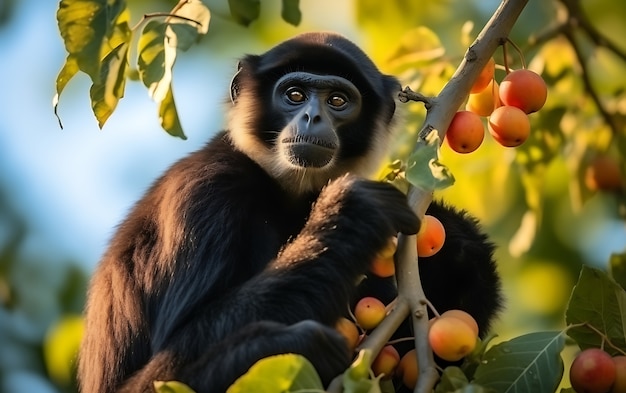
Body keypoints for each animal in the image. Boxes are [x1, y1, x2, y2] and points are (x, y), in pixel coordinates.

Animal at [77, 31, 502, 392]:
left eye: (337, 101)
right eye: (295, 95)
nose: (312, 117)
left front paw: (454, 241)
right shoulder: (207, 191)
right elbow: (164, 368)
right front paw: (350, 214)